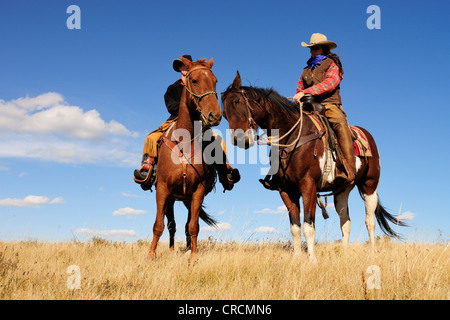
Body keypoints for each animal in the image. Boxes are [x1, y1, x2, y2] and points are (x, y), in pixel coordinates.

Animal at [149, 57, 222, 262]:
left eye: (215, 81)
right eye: (194, 80)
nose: (215, 115)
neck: (184, 142)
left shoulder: (198, 192)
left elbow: (193, 226)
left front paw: (193, 257)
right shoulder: (163, 190)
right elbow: (158, 225)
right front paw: (150, 256)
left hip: (187, 199)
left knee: (187, 225)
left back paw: (188, 249)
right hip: (171, 198)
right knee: (171, 225)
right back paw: (172, 250)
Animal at [222, 71, 408, 262]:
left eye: (237, 102)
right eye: (224, 113)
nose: (240, 140)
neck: (293, 136)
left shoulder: (308, 186)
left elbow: (308, 227)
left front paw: (312, 260)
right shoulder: (286, 190)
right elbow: (295, 228)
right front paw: (297, 258)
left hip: (369, 185)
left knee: (369, 221)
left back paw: (372, 252)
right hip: (343, 190)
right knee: (345, 221)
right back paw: (345, 253)